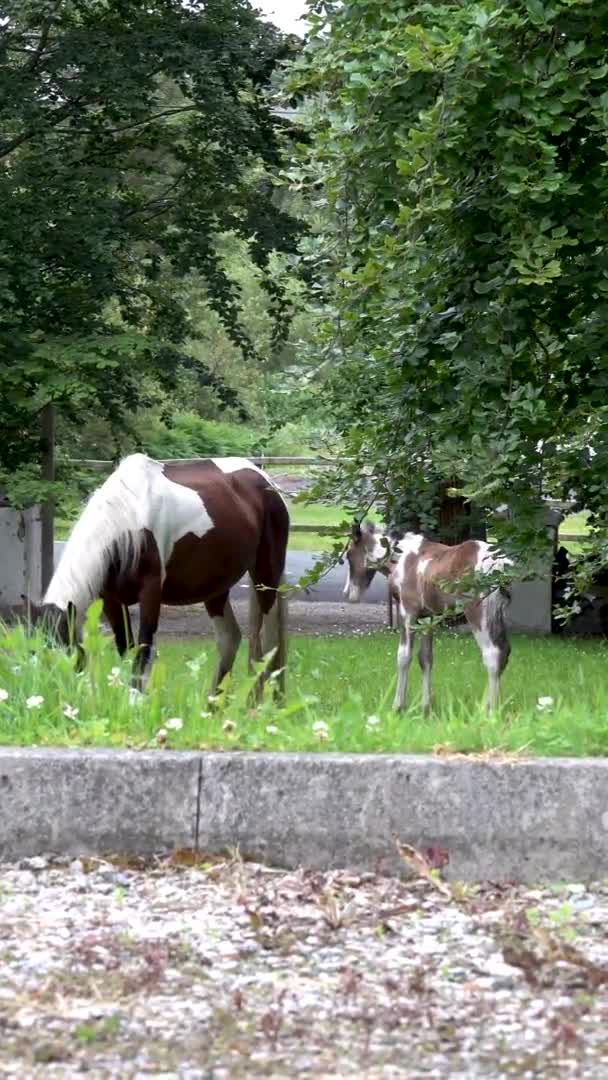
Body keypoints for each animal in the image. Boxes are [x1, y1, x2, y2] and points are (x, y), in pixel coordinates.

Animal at [345, 524, 511, 717]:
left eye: (349, 555)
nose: (350, 594)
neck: (401, 558)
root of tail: (498, 564)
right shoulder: (428, 617)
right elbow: (425, 658)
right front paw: (426, 709)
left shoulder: (407, 611)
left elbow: (403, 657)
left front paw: (397, 707)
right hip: (498, 614)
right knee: (504, 653)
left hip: (477, 612)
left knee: (492, 654)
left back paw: (490, 712)